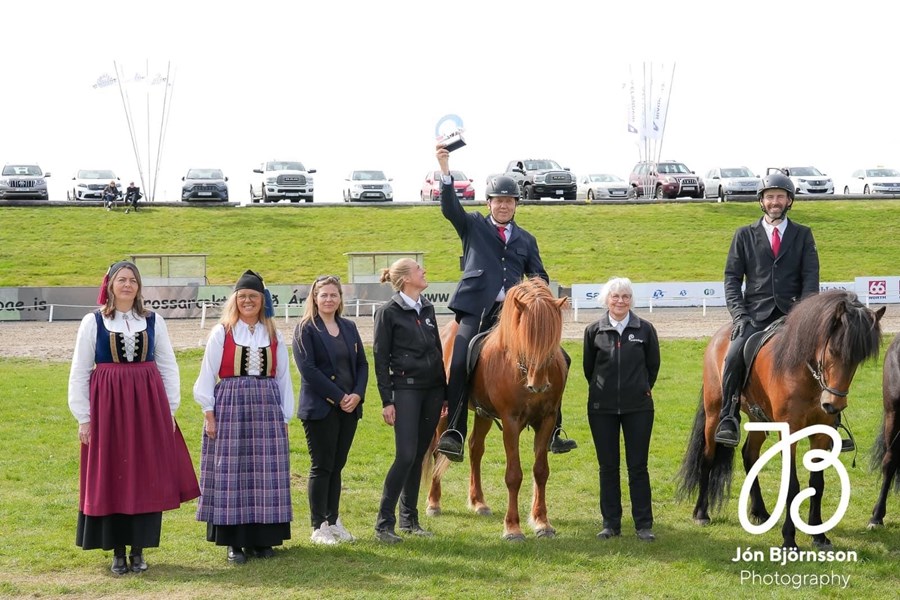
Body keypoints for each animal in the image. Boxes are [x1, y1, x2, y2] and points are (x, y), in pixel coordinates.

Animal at [424, 278, 568, 540]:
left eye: (552, 336)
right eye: (526, 335)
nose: (538, 385)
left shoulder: (547, 419)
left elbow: (541, 471)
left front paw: (542, 522)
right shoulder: (511, 422)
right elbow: (514, 475)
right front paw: (512, 528)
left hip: (484, 414)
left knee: (475, 448)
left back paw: (479, 502)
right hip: (444, 415)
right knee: (438, 451)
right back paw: (434, 502)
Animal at [680, 290, 884, 548]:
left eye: (859, 358)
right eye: (833, 351)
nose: (833, 405)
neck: (805, 373)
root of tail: (721, 335)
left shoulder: (821, 432)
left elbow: (817, 483)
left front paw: (818, 534)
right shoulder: (789, 431)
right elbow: (791, 484)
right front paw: (789, 539)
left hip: (758, 418)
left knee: (750, 455)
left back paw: (759, 512)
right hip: (714, 412)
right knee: (708, 457)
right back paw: (701, 513)